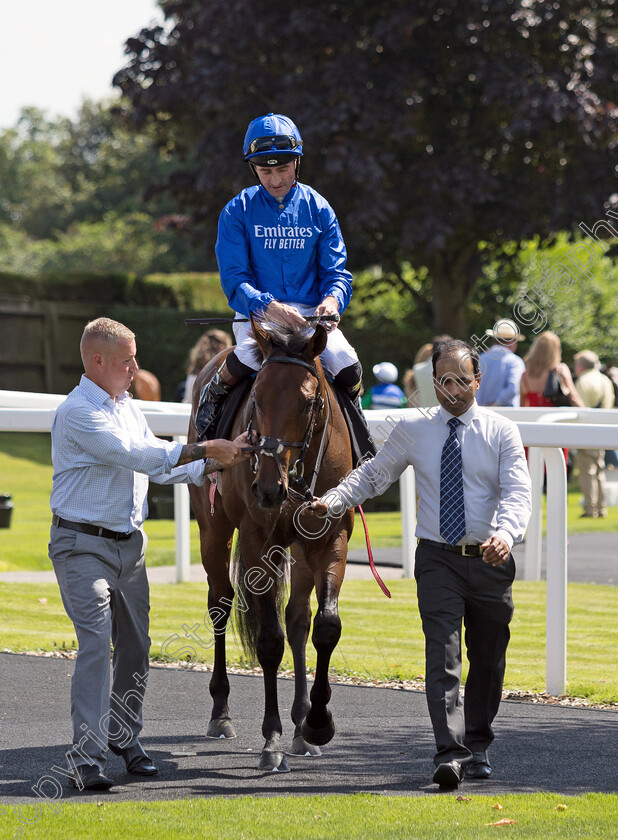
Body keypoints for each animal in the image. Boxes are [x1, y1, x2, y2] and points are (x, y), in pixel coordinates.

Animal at [186, 318, 352, 772]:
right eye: (256, 399)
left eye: (309, 402)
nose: (267, 488)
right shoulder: (258, 541)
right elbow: (269, 641)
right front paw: (272, 738)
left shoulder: (331, 537)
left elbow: (325, 626)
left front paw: (316, 723)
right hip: (214, 529)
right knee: (220, 603)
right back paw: (221, 712)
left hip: (297, 549)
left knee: (298, 618)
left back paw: (300, 725)